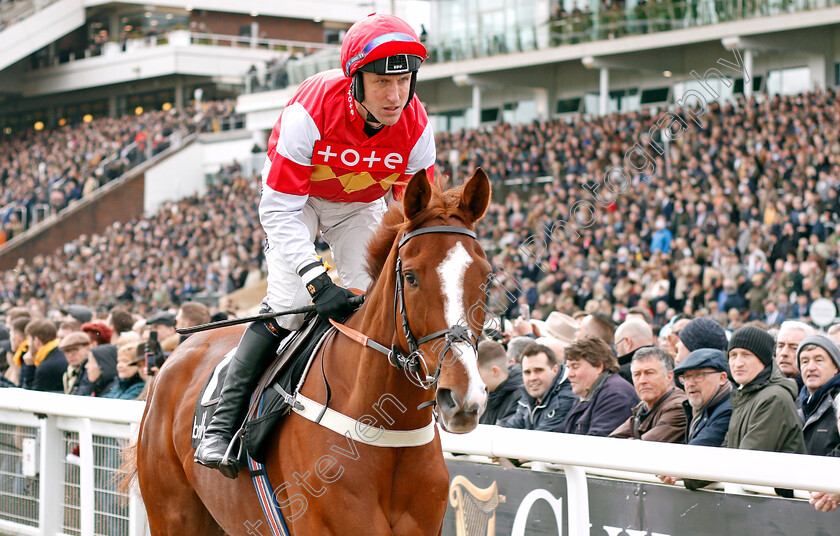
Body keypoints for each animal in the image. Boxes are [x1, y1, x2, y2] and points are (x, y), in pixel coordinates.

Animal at [133, 169, 492, 536]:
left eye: (487, 277)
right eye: (411, 277)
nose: (463, 396)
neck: (387, 432)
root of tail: (175, 355)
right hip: (172, 513)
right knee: (276, 316)